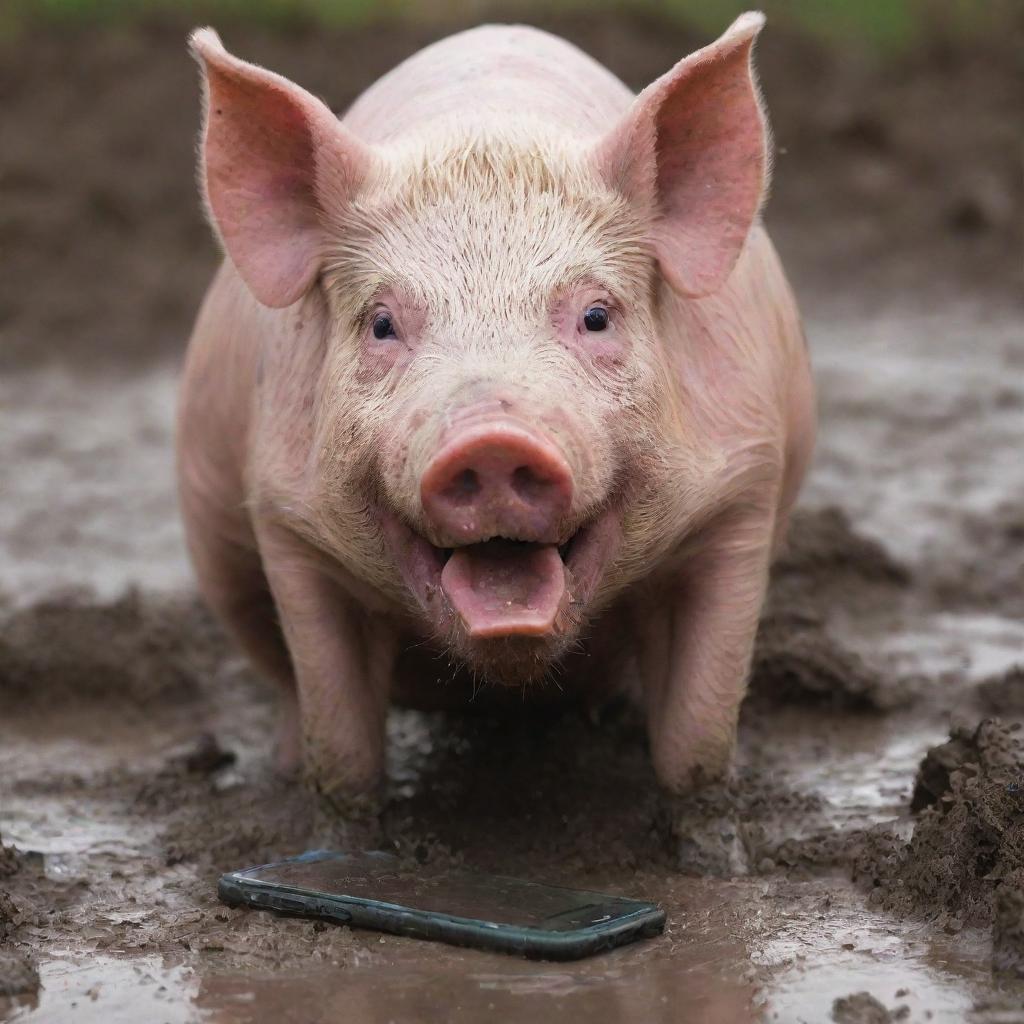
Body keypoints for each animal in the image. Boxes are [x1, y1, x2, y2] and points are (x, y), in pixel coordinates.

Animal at [178, 8, 815, 806]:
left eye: (596, 316)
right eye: (381, 323)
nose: (492, 440)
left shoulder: (741, 492)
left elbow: (696, 741)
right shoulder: (286, 521)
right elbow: (342, 750)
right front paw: (335, 808)